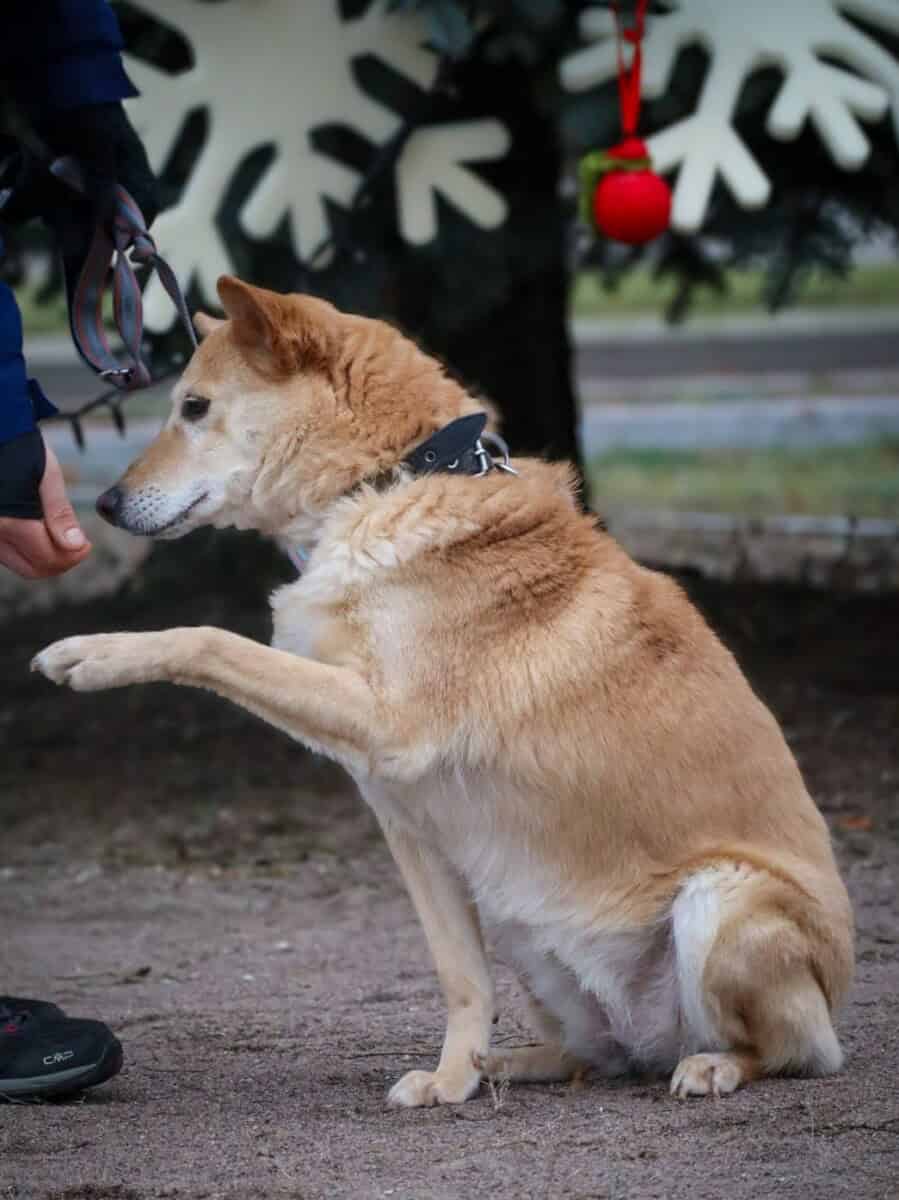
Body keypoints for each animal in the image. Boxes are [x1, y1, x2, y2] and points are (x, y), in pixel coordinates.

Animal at [33, 276, 854, 1106]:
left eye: (195, 408)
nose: (103, 505)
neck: (388, 481)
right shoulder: (413, 832)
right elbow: (460, 977)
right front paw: (452, 1077)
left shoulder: (388, 723)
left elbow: (206, 640)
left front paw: (94, 654)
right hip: (528, 930)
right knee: (602, 1054)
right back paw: (512, 1064)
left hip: (722, 901)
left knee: (792, 1050)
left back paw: (714, 1064)